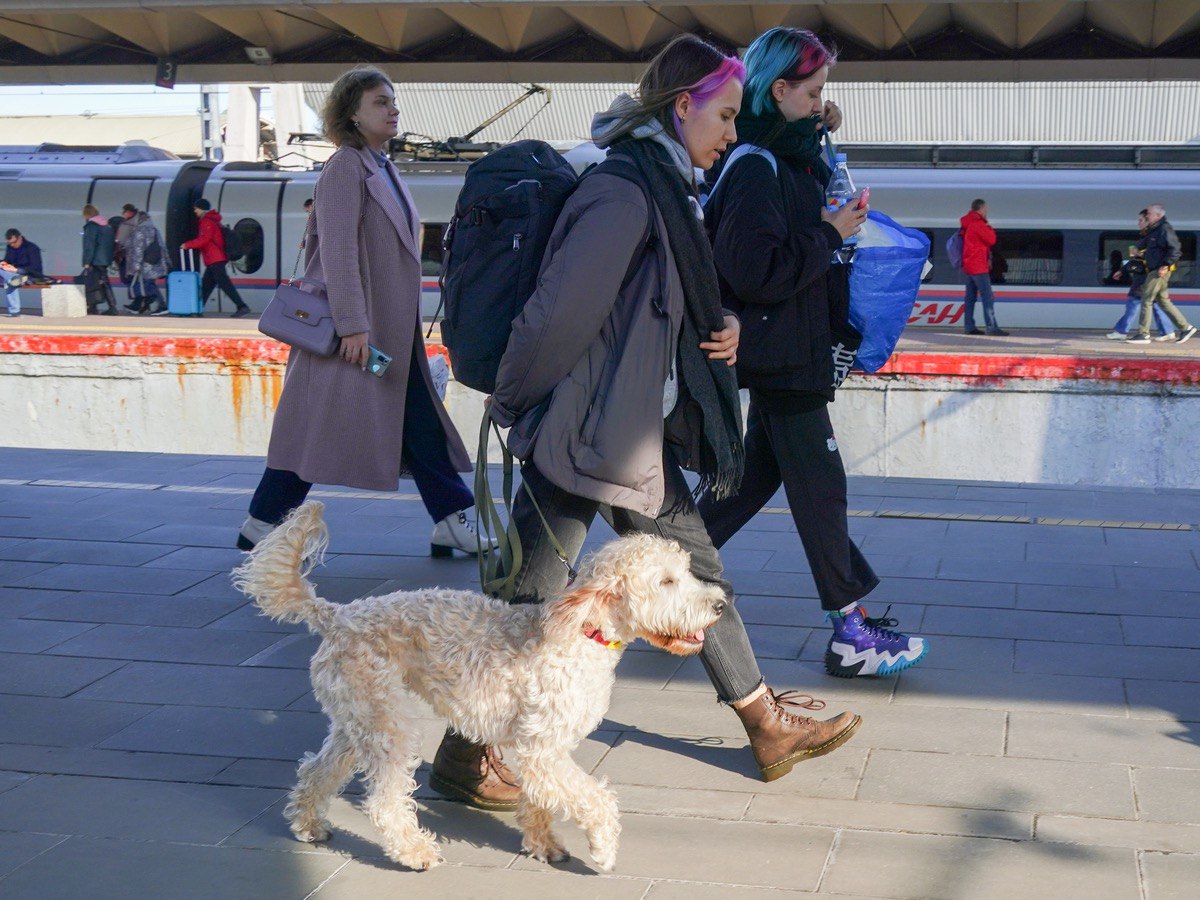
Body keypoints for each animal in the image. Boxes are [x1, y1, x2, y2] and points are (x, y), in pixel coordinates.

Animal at [230, 501, 724, 873]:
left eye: (685, 572)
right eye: (666, 581)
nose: (720, 604)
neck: (585, 631)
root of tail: (335, 615)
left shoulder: (542, 752)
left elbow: (541, 800)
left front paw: (543, 845)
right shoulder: (543, 751)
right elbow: (596, 798)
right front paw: (603, 849)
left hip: (358, 721)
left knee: (317, 771)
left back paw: (308, 824)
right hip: (389, 728)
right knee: (385, 801)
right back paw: (414, 852)